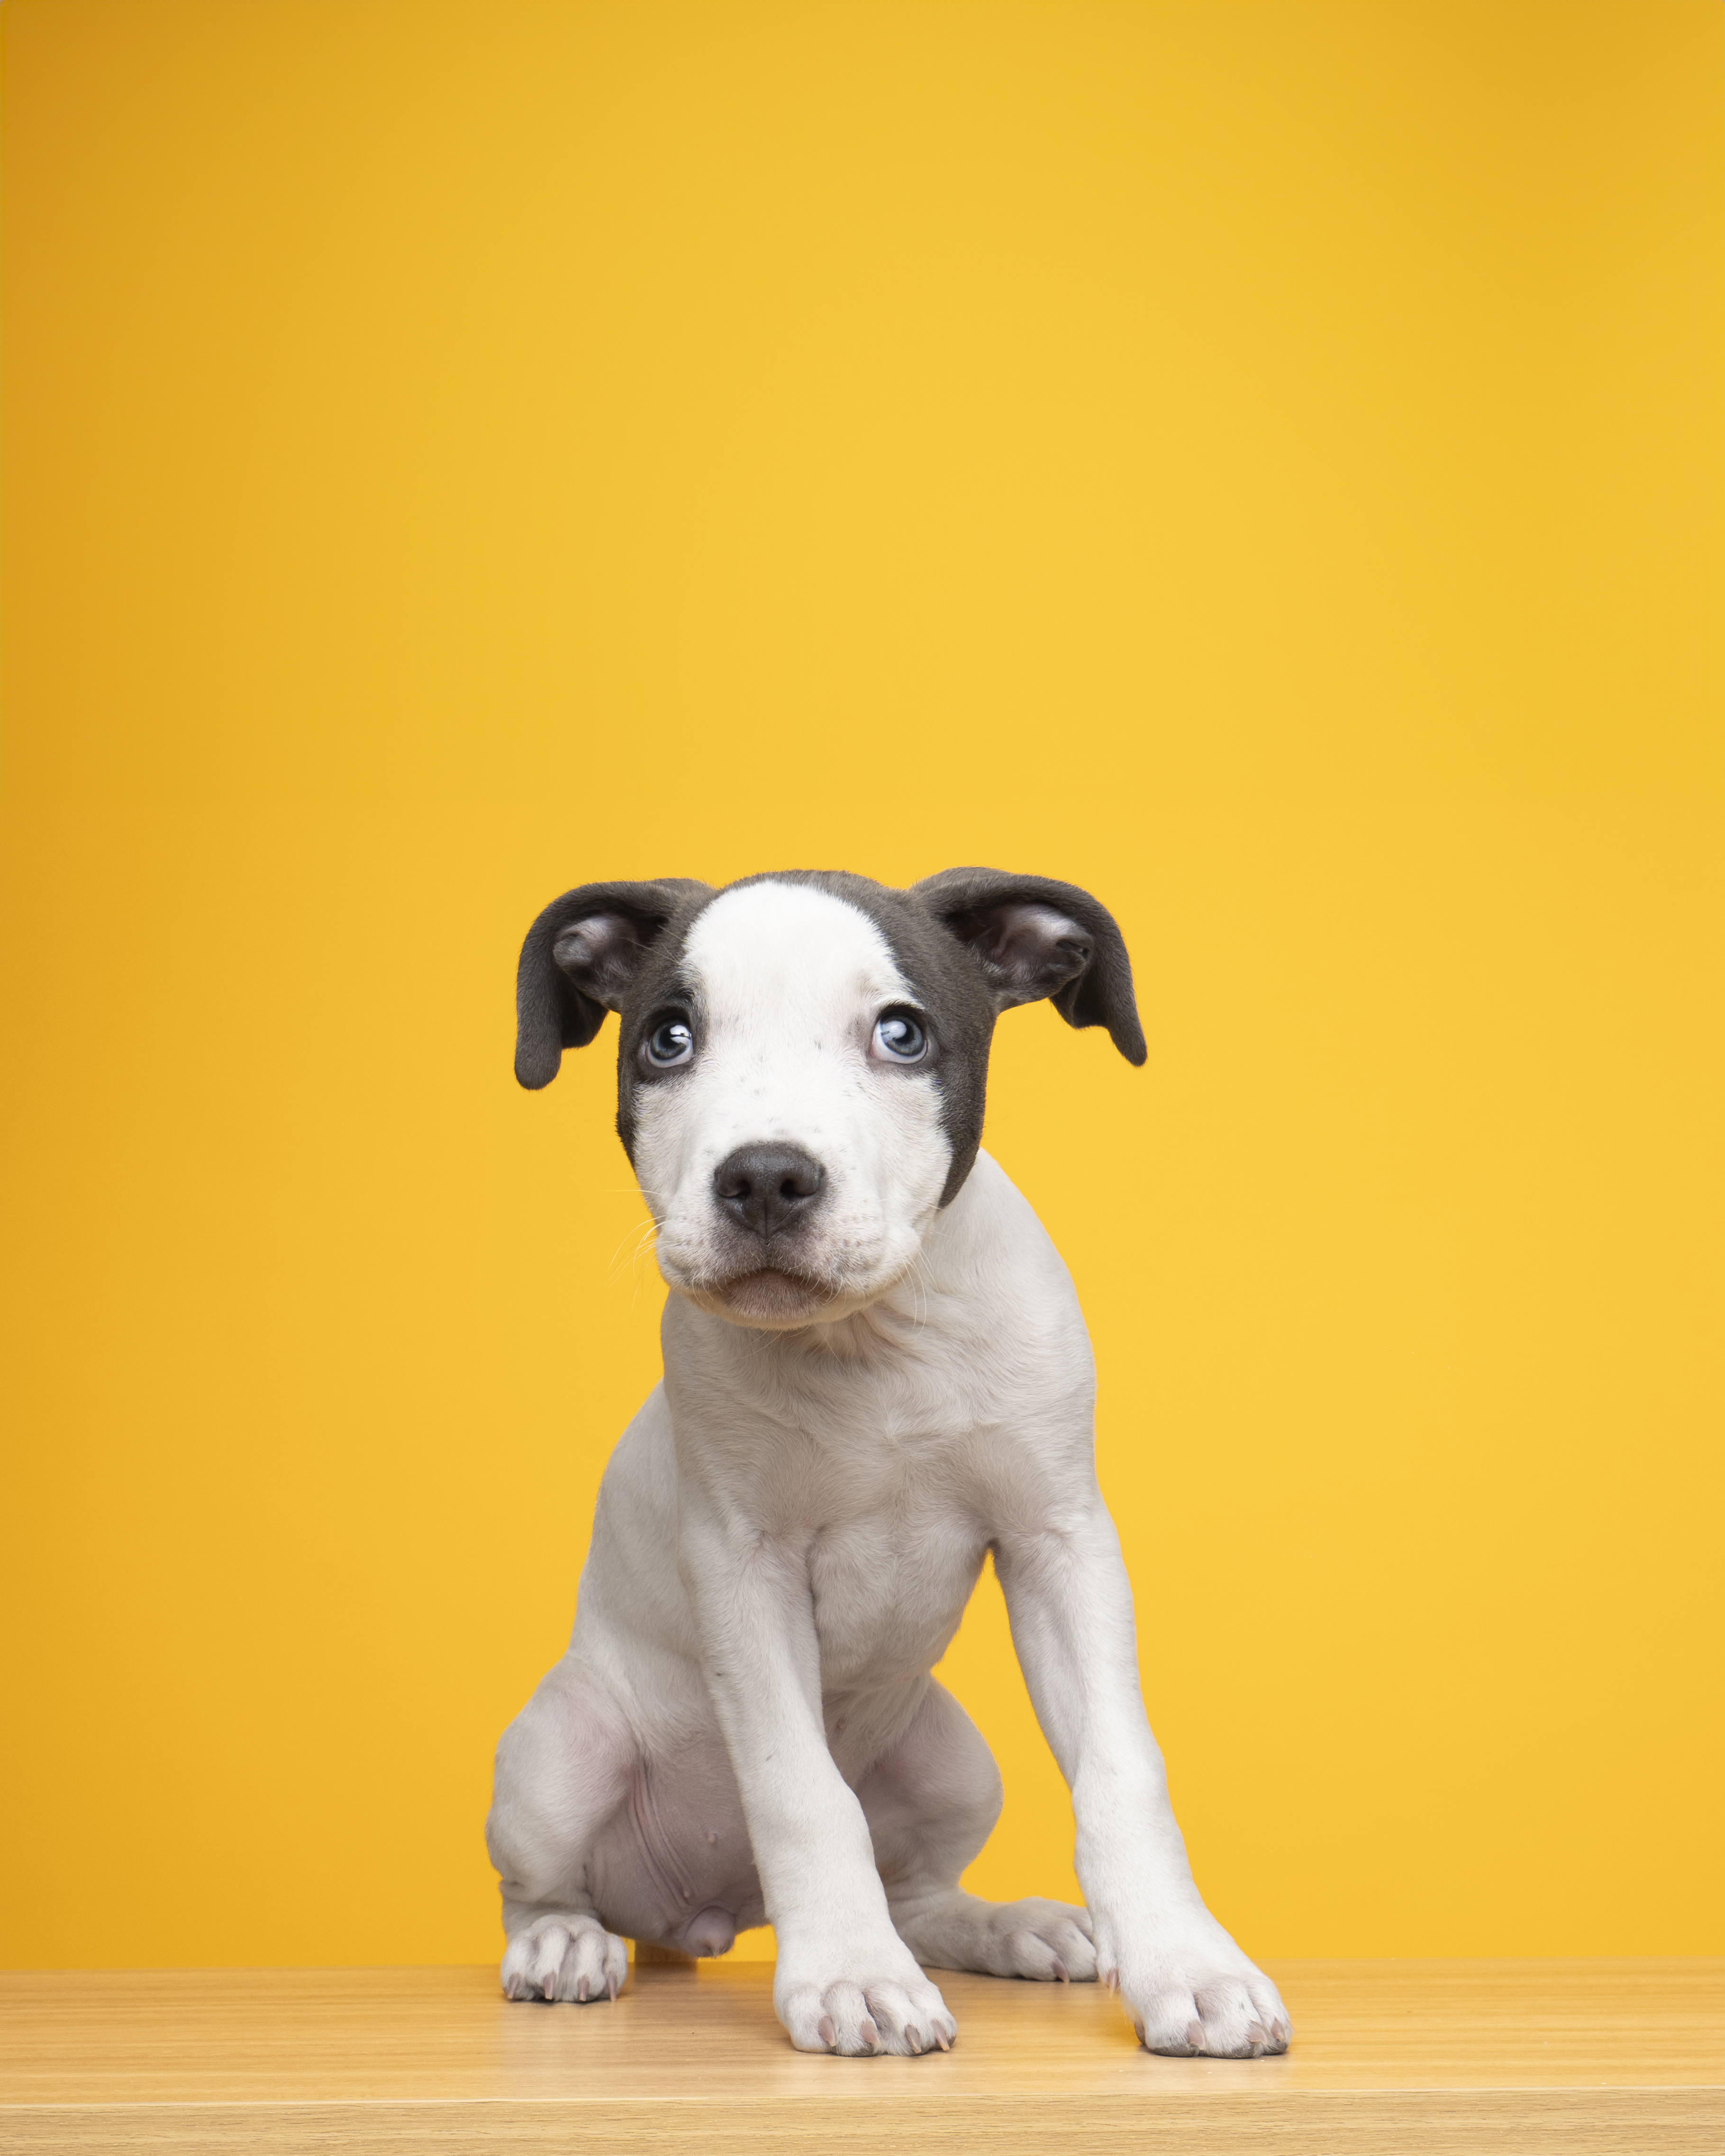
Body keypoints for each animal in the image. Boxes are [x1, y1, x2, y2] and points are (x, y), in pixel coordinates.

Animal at [479, 871, 1285, 2052]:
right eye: (668, 1039)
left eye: (900, 1033)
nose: (766, 1176)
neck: (870, 1346)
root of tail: (705, 1913)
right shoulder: (745, 1573)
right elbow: (802, 1793)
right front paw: (852, 1976)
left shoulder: (1059, 1544)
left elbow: (1122, 1769)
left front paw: (1188, 1964)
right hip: (555, 1752)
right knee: (542, 1885)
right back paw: (562, 1945)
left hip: (953, 1762)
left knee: (918, 1890)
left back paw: (1008, 1927)